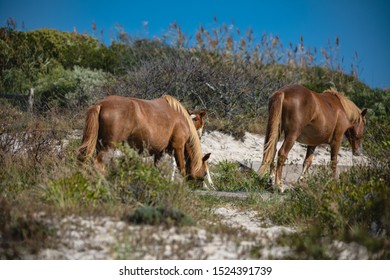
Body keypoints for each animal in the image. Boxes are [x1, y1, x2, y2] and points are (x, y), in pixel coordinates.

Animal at [78, 94, 215, 188]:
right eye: (204, 173)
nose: (202, 186)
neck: (181, 118)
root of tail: (100, 104)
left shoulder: (160, 153)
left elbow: (159, 171)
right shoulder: (178, 147)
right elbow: (181, 169)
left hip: (98, 145)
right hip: (108, 147)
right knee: (98, 164)